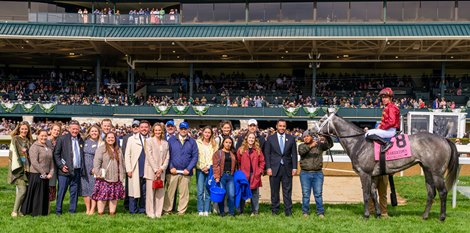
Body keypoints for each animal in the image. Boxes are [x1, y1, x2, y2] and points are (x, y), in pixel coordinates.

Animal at [314, 110, 458, 221]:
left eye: (321, 120)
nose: (312, 131)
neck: (359, 143)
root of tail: (444, 139)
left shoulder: (364, 174)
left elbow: (366, 194)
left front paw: (366, 216)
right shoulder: (373, 175)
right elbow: (373, 194)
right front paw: (377, 214)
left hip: (437, 173)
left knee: (443, 192)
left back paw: (442, 217)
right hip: (427, 170)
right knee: (431, 192)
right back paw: (424, 216)